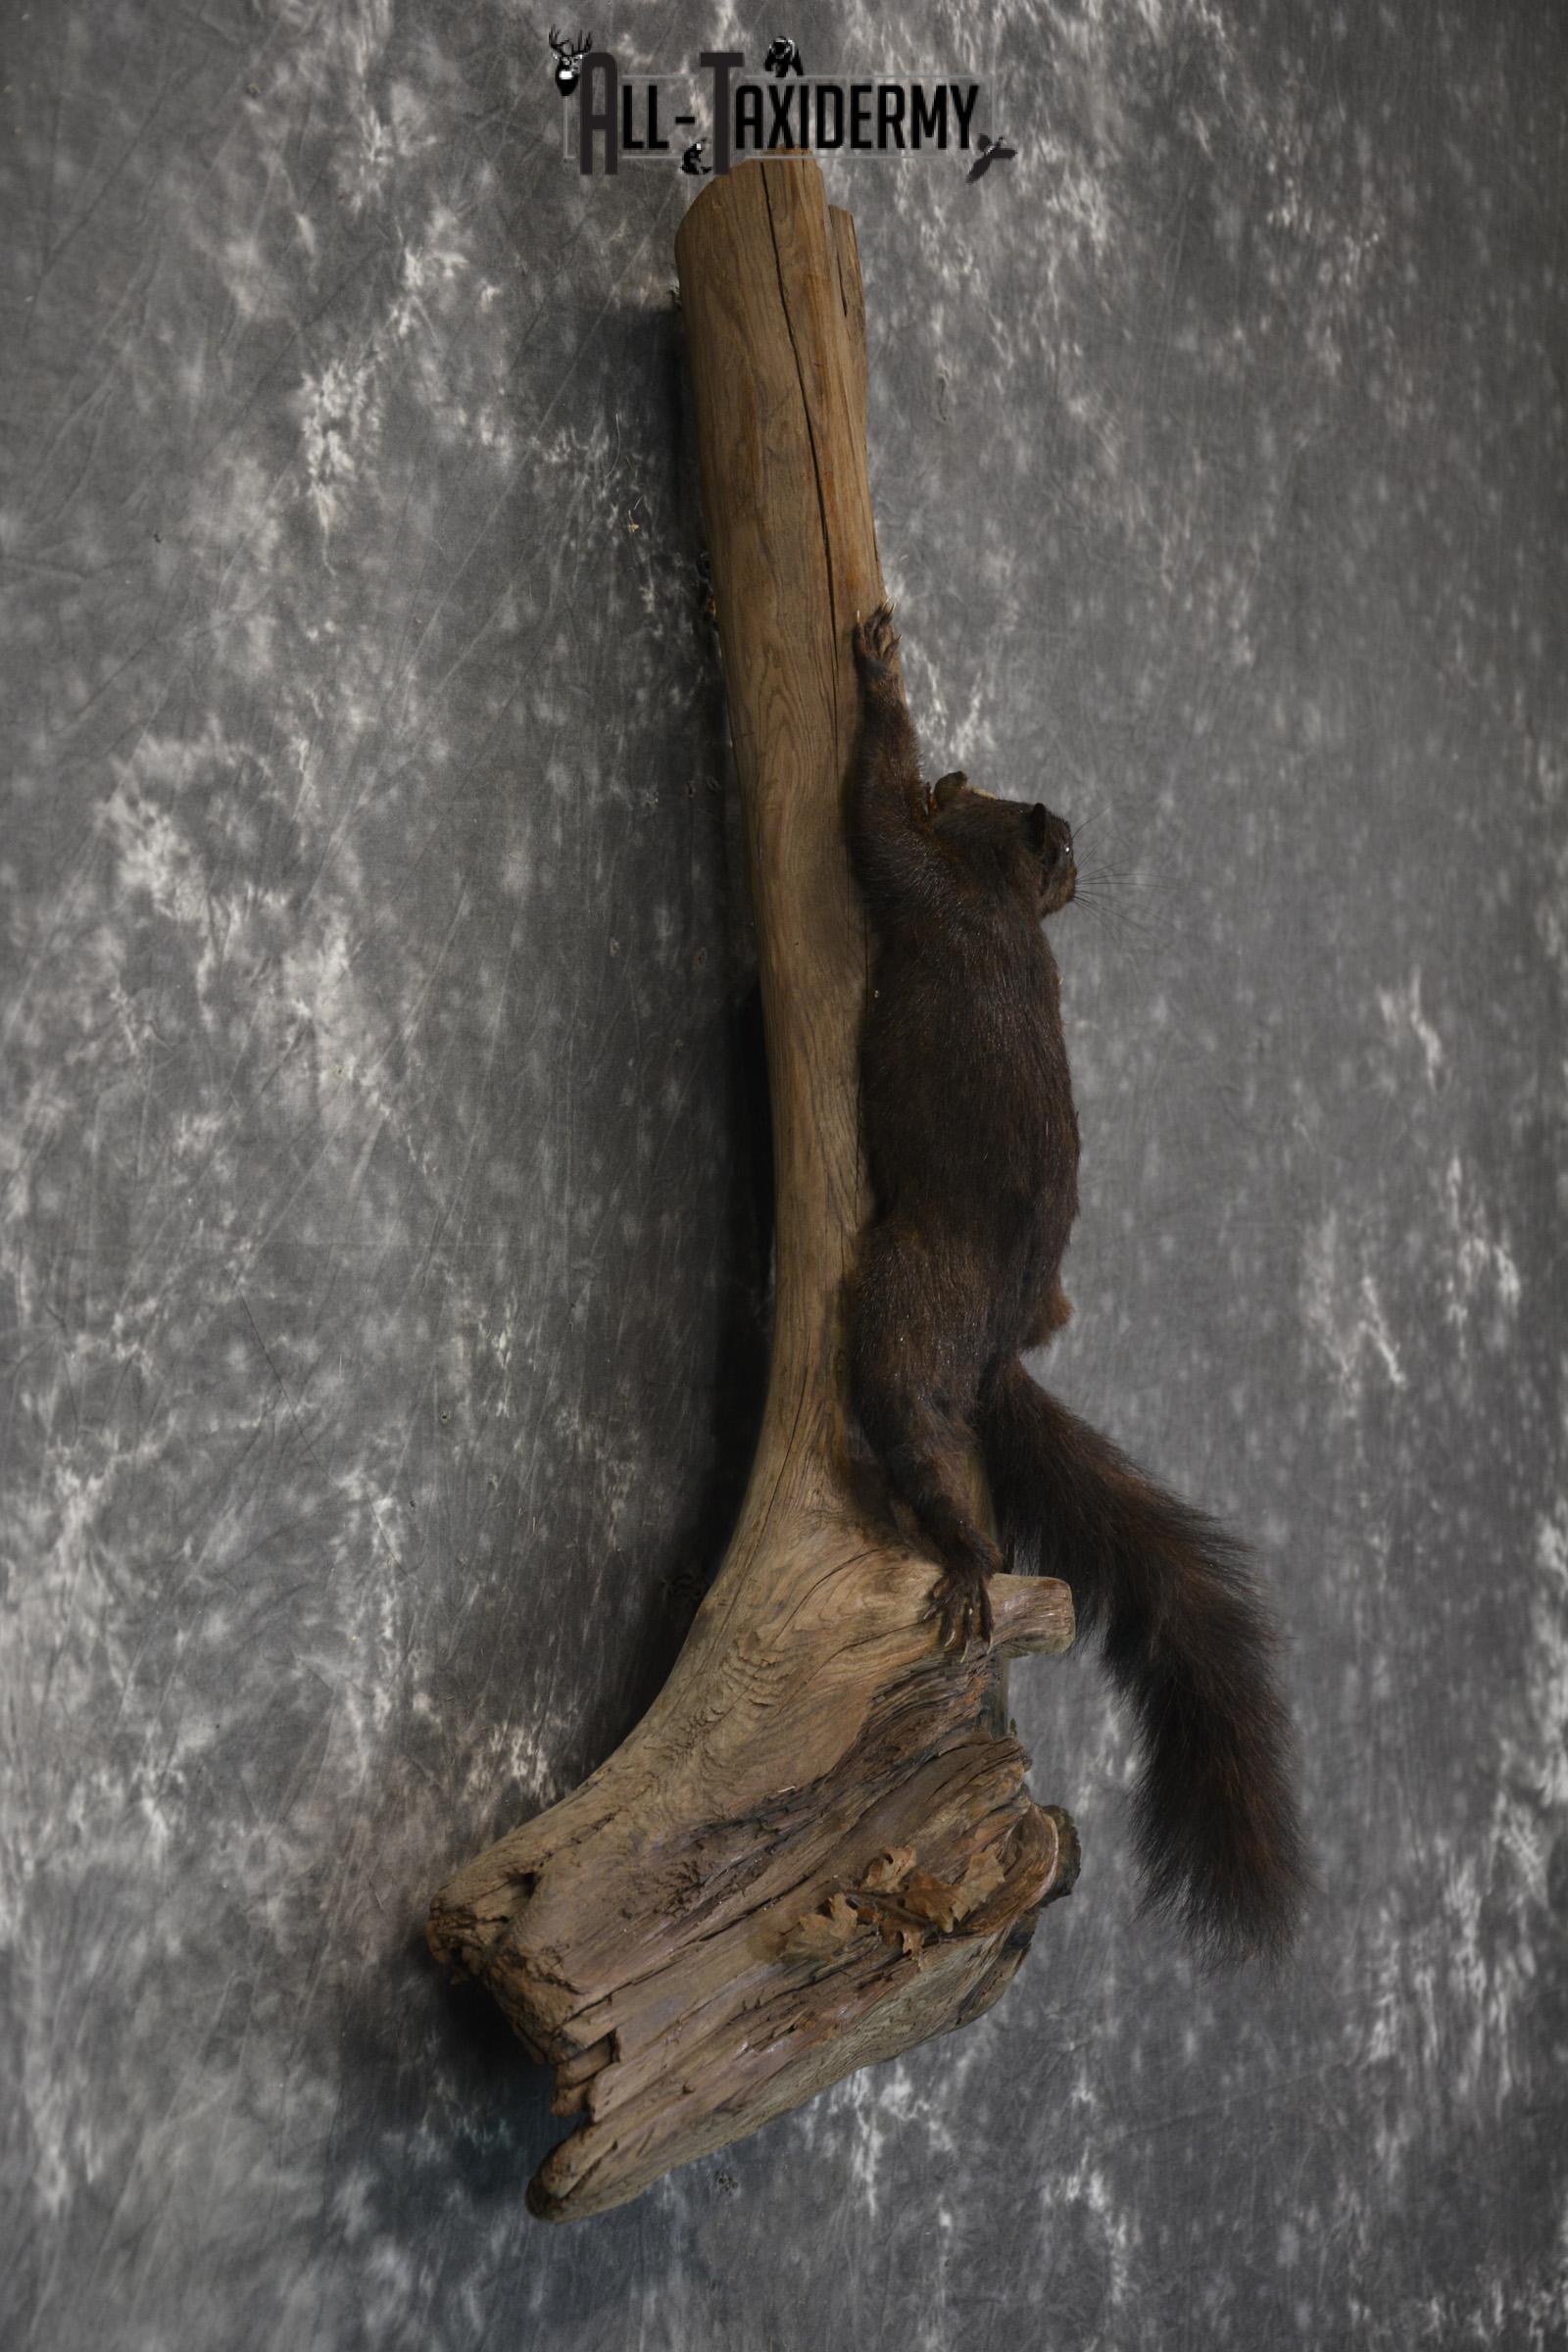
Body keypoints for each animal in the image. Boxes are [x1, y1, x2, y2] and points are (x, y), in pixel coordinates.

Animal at [844, 600, 1306, 1962]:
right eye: (1060, 851)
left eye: (1028, 825)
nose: (1075, 871)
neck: (998, 903)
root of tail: (1000, 1344)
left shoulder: (915, 878)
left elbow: (871, 809)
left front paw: (882, 676)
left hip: (904, 1315)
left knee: (921, 1437)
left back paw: (958, 1562)